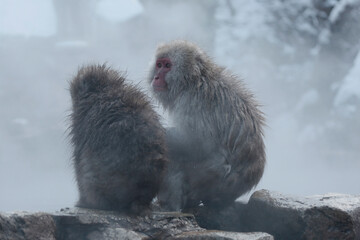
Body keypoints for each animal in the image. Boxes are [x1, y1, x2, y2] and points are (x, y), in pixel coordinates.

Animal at [148, 40, 266, 211]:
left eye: (167, 65)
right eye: (159, 65)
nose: (156, 77)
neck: (194, 80)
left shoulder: (191, 102)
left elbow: (197, 144)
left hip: (210, 181)